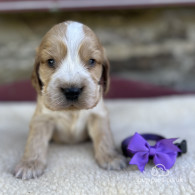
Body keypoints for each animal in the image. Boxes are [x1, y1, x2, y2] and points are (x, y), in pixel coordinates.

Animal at [13, 20, 126, 179]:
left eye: (92, 61)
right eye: (51, 61)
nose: (72, 91)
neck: (71, 111)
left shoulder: (98, 114)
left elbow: (104, 135)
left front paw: (111, 157)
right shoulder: (42, 118)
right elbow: (35, 141)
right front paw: (29, 164)